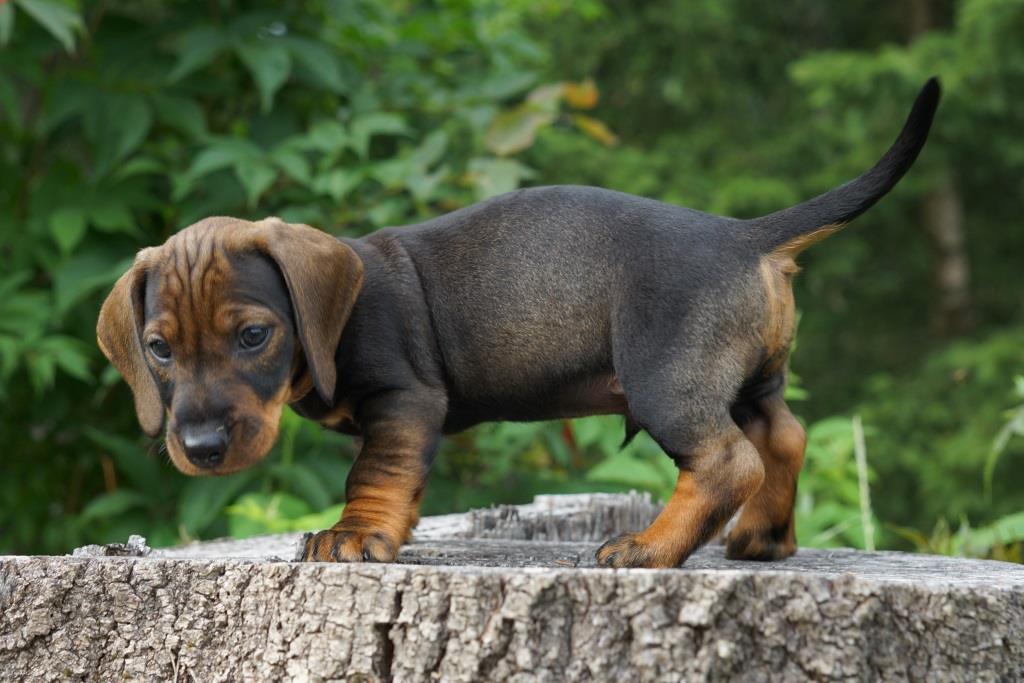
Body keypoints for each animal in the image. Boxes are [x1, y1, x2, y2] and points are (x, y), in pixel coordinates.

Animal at [97, 78, 939, 568]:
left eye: (253, 335)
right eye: (158, 349)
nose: (201, 446)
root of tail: (742, 235)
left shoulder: (403, 400)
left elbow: (375, 473)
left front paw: (355, 533)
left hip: (667, 378)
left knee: (728, 460)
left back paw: (648, 549)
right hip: (747, 378)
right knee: (782, 437)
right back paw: (762, 539)